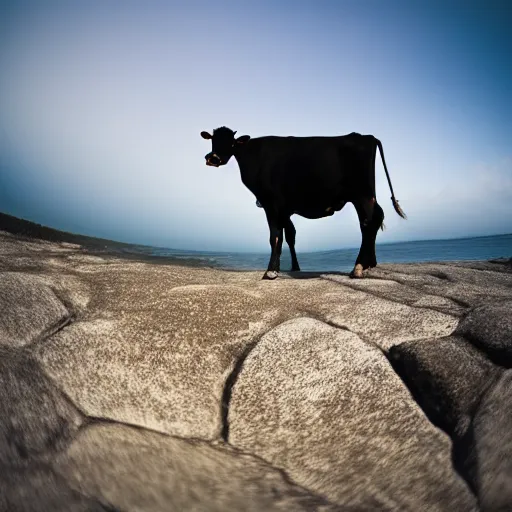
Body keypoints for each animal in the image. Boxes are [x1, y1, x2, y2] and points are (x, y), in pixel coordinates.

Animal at [200, 127, 404, 280]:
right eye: (213, 140)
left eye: (231, 143)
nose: (213, 158)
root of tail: (366, 136)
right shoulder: (282, 209)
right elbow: (286, 236)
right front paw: (281, 268)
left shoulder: (271, 203)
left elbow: (275, 236)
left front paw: (271, 272)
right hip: (364, 195)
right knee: (374, 219)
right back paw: (369, 264)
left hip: (361, 194)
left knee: (369, 222)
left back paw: (359, 267)